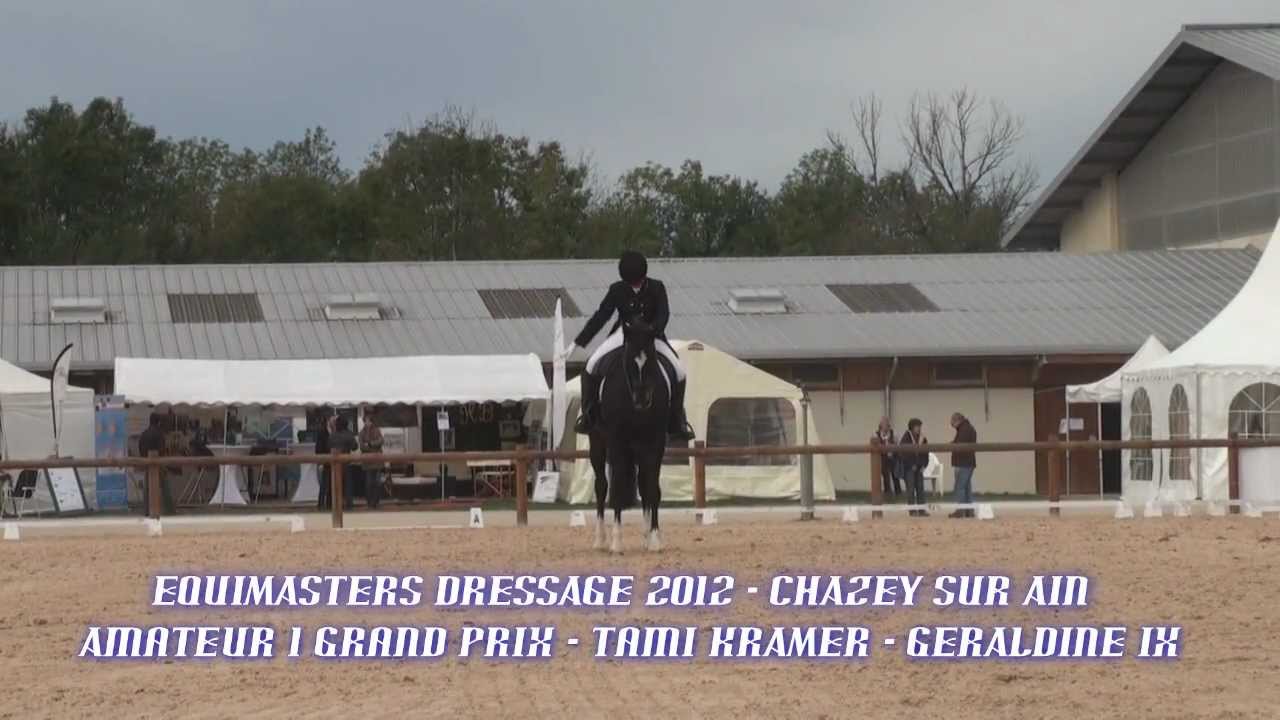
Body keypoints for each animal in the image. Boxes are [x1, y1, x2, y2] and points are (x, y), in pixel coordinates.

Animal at [593, 319, 670, 553]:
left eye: (652, 359)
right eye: (628, 361)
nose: (642, 399)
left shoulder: (655, 442)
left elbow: (652, 488)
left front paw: (654, 539)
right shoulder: (616, 441)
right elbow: (617, 487)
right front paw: (616, 542)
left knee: (644, 484)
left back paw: (645, 536)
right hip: (597, 443)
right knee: (601, 486)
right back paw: (600, 539)